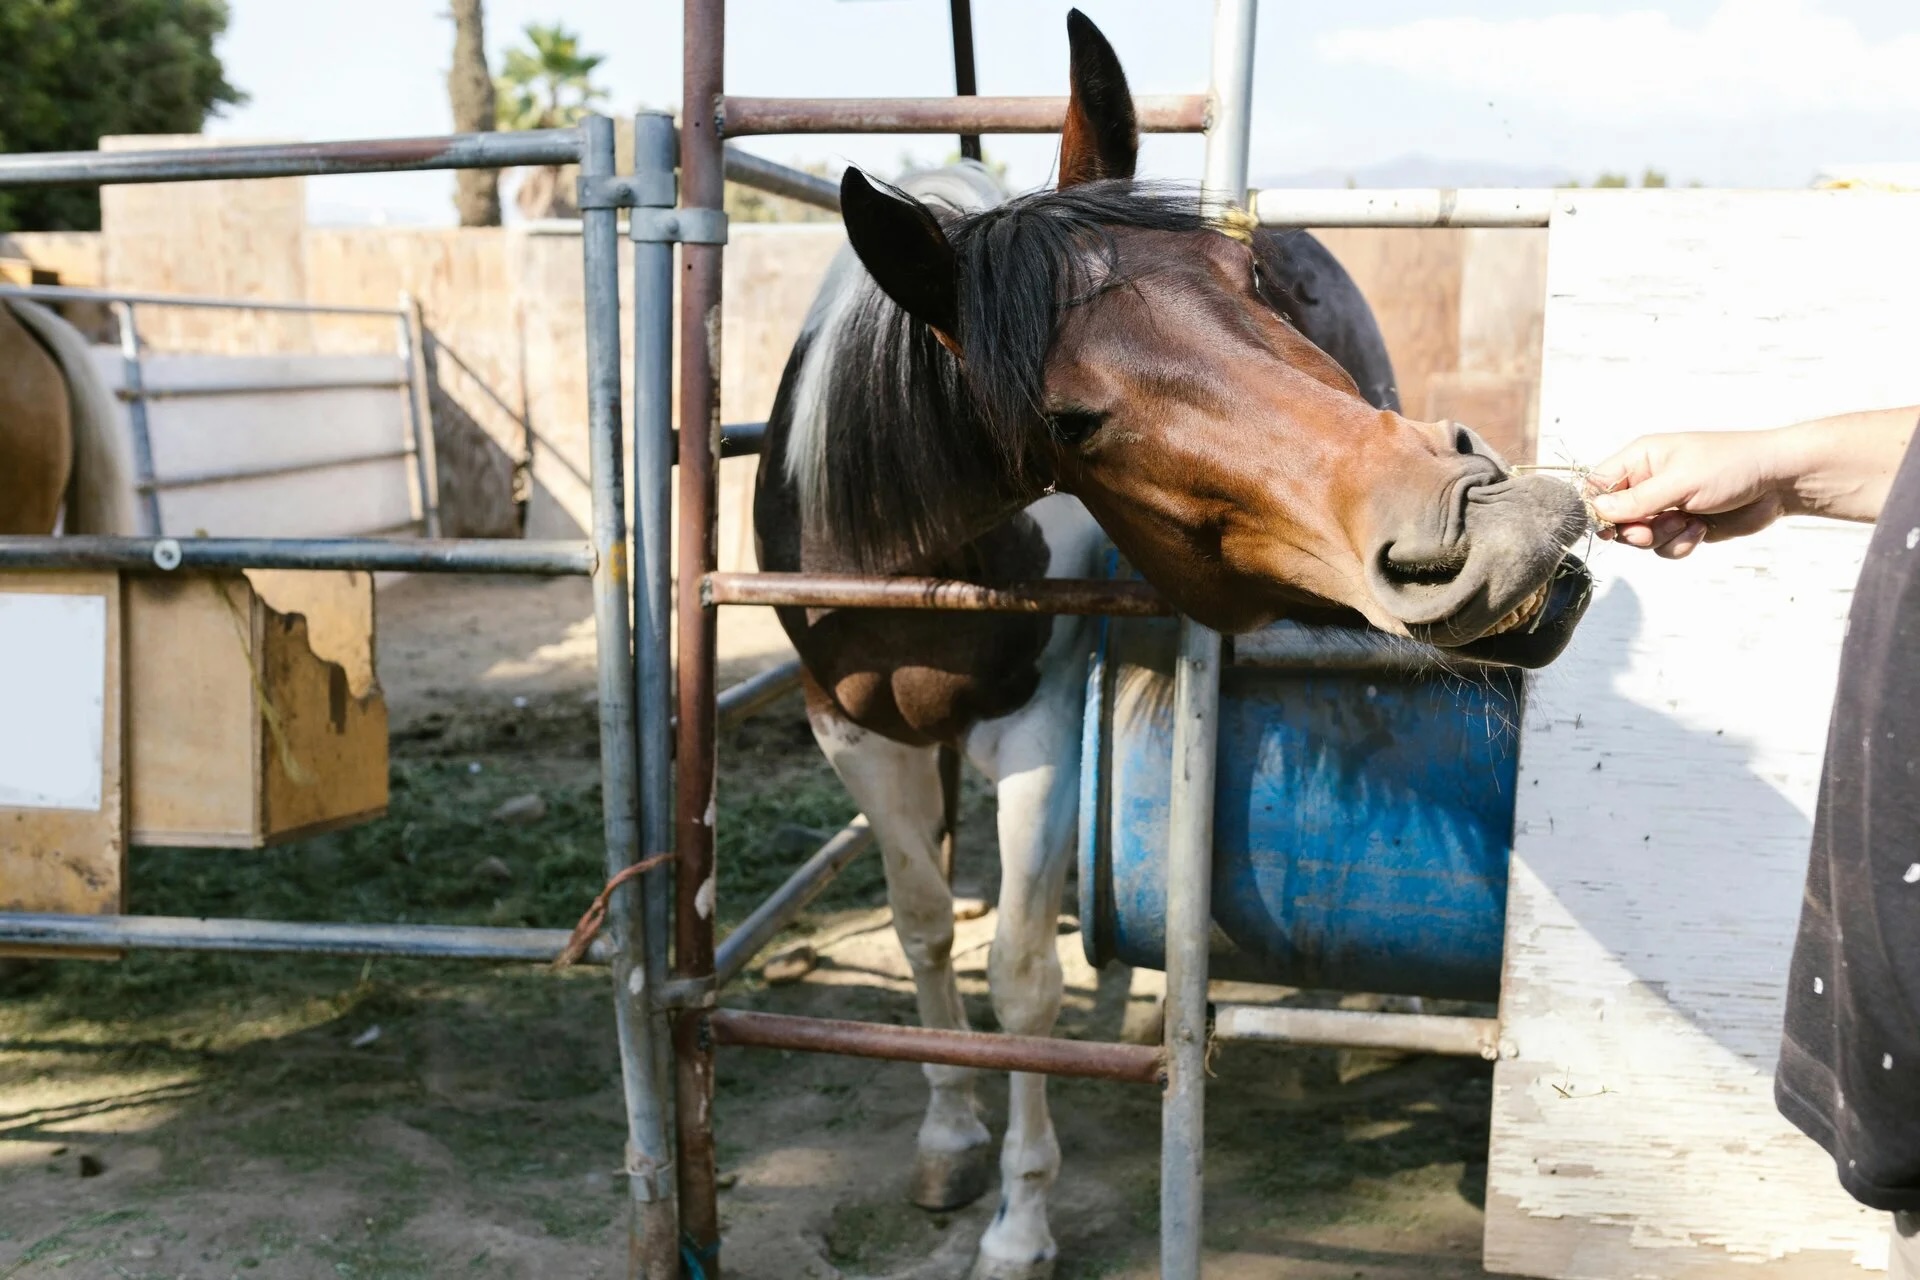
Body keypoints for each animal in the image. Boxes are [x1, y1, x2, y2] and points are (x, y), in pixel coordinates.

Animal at [752, 12, 1591, 1277]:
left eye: (1254, 287)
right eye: (1066, 419)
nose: (1489, 517)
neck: (902, 542)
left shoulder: (1044, 730)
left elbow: (1022, 975)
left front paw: (1021, 1218)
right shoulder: (852, 729)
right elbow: (920, 928)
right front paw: (949, 1133)